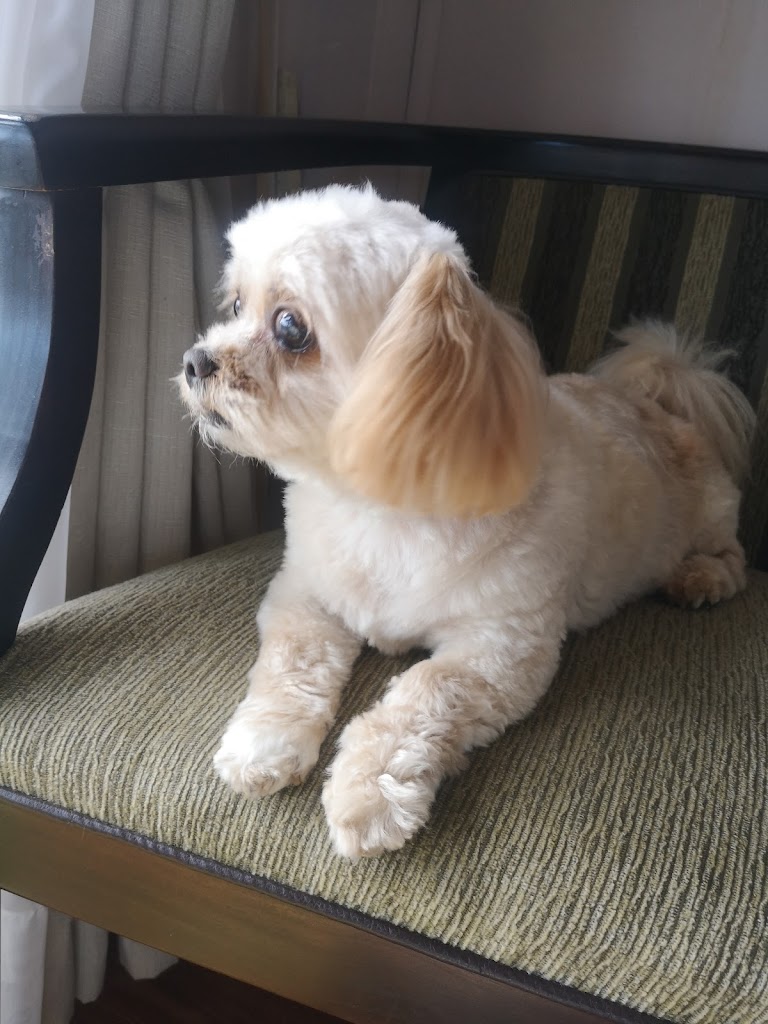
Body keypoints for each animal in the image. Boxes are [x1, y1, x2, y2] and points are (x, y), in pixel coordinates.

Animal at [178, 184, 755, 858]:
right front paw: (262, 743)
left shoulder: (501, 648)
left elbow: (424, 691)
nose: (195, 361)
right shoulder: (304, 595)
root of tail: (657, 400)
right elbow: (292, 663)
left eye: (291, 327)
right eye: (237, 304)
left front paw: (368, 794)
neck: (379, 508)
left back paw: (699, 579)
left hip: (710, 511)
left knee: (732, 556)